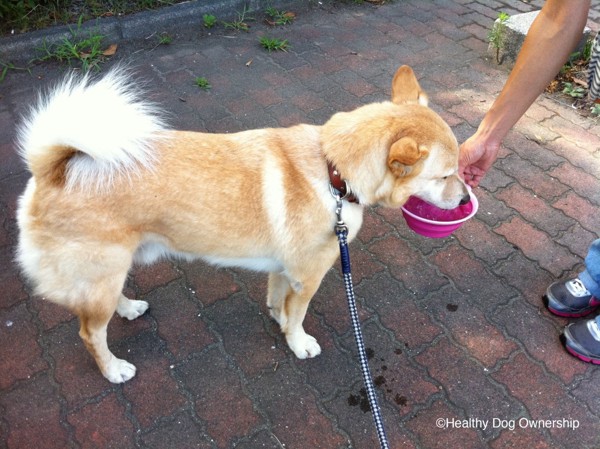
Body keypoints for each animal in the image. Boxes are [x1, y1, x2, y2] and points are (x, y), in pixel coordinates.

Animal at [15, 65, 468, 384]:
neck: (333, 171)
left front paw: (278, 321)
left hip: (109, 272)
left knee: (101, 311)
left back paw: (128, 310)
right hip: (102, 274)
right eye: (445, 176)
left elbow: (279, 301)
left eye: (457, 169)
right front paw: (298, 343)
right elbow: (298, 316)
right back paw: (114, 370)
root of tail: (52, 169)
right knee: (90, 333)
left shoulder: (284, 269)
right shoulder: (309, 276)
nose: (465, 199)